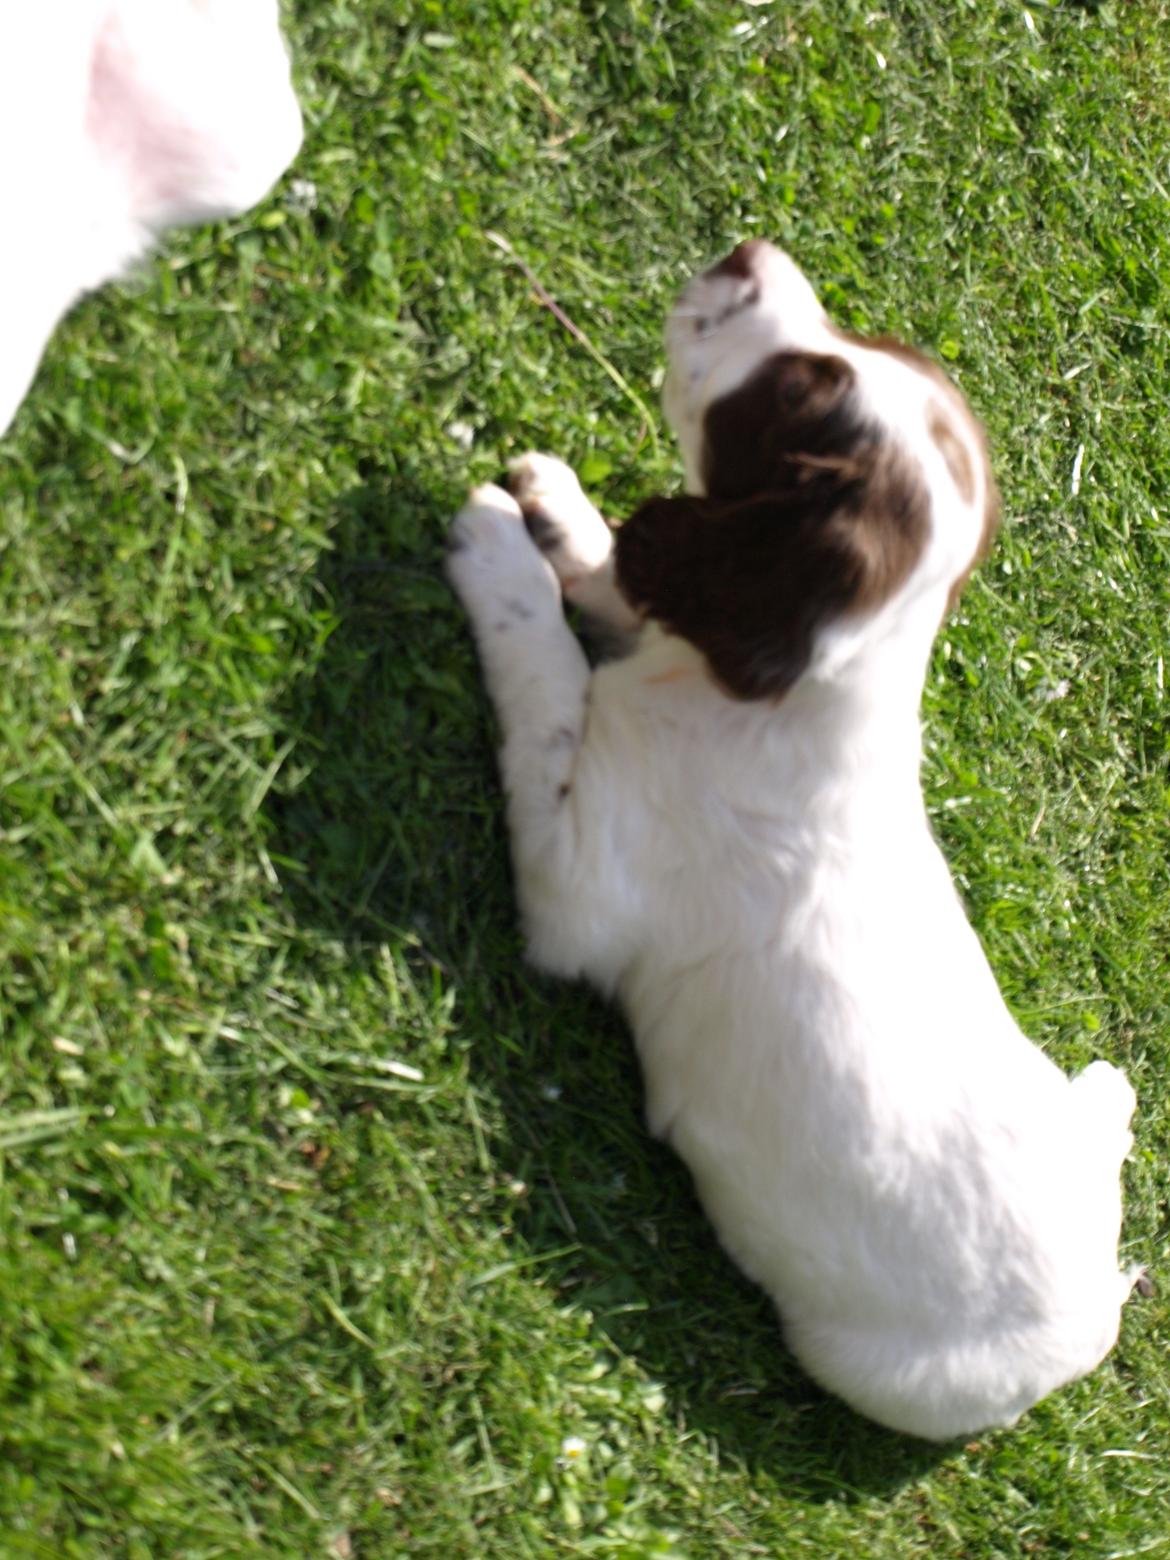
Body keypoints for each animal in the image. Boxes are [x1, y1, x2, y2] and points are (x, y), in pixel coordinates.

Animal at [449, 237, 1148, 1441]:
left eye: (795, 390)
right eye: (853, 347)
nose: (749, 252)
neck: (790, 697)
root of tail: (1097, 1308)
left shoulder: (578, 876)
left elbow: (546, 683)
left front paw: (500, 549)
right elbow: (623, 587)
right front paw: (562, 510)